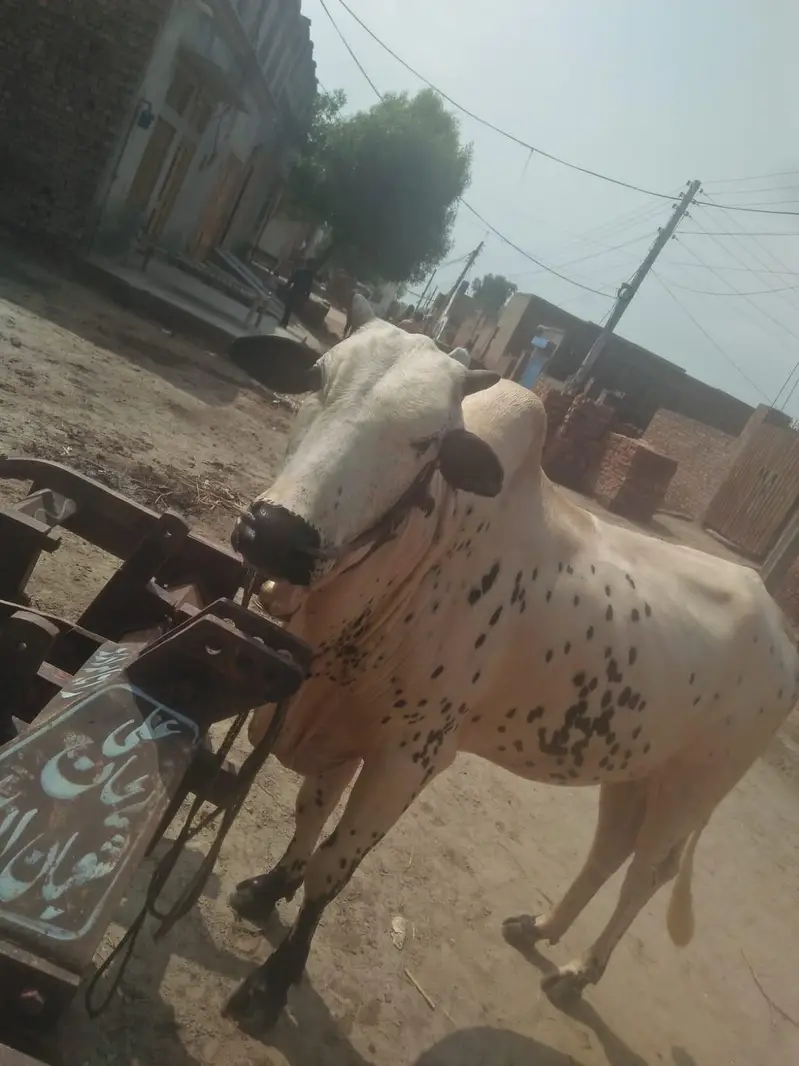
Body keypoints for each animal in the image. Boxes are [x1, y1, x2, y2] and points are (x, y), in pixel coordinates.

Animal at [223, 296, 799, 1030]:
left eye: (428, 441)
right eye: (317, 378)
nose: (275, 534)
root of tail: (776, 623)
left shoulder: (411, 755)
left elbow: (333, 868)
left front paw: (273, 981)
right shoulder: (337, 716)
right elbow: (307, 814)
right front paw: (267, 888)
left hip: (691, 787)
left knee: (646, 873)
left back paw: (577, 973)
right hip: (632, 766)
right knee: (608, 850)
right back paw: (540, 928)